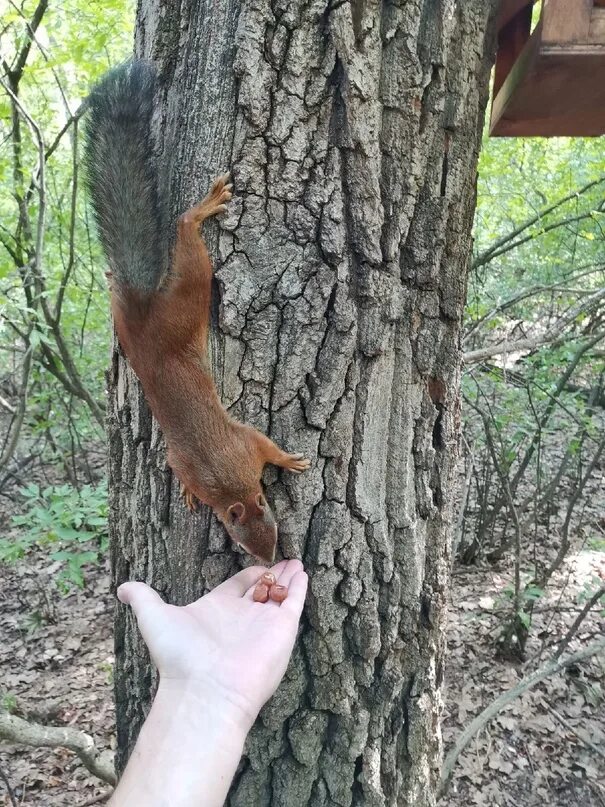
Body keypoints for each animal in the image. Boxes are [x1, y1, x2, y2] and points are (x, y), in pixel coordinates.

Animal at [82, 63, 310, 564]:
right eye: (243, 543)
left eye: (274, 529)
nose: (270, 563)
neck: (227, 481)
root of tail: (142, 313)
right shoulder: (224, 452)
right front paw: (190, 493)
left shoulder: (244, 446)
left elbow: (264, 446)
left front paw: (289, 460)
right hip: (180, 301)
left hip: (166, 302)